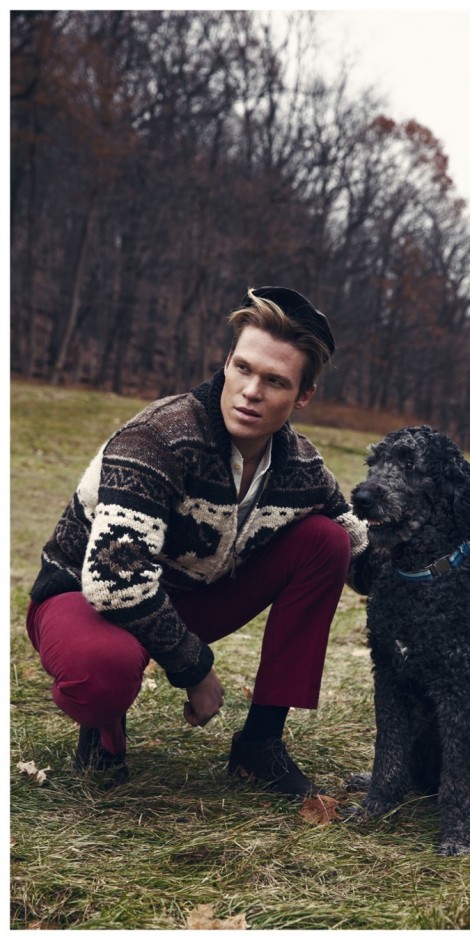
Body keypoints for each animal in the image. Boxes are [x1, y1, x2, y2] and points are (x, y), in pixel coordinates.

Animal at [350, 425, 470, 856]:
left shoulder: (457, 692)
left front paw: (456, 835)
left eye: (410, 465)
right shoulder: (389, 675)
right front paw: (376, 804)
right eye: (373, 462)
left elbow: (458, 775)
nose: (362, 497)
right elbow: (388, 750)